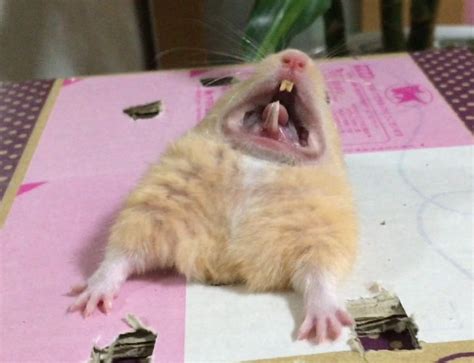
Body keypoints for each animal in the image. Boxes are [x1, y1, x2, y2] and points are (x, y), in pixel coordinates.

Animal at [66, 49, 356, 344]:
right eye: (244, 78)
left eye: (328, 98)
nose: (295, 57)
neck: (258, 160)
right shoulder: (154, 207)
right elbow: (120, 255)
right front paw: (86, 301)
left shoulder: (321, 232)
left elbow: (319, 276)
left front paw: (329, 331)